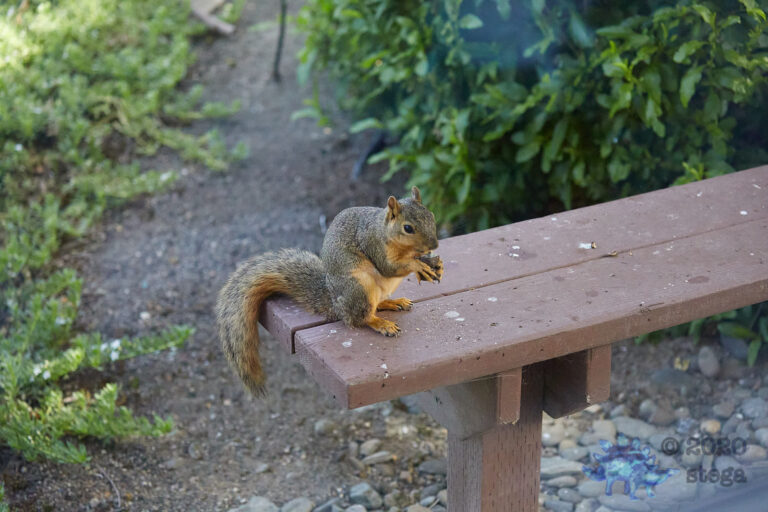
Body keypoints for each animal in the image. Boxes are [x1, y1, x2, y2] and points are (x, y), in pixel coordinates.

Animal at [215, 186, 444, 396]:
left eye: (431, 215)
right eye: (408, 228)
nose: (434, 244)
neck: (385, 230)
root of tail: (335, 302)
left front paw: (434, 263)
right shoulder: (374, 244)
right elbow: (388, 267)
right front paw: (418, 265)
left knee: (375, 305)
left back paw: (394, 302)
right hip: (359, 288)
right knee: (359, 318)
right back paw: (381, 323)